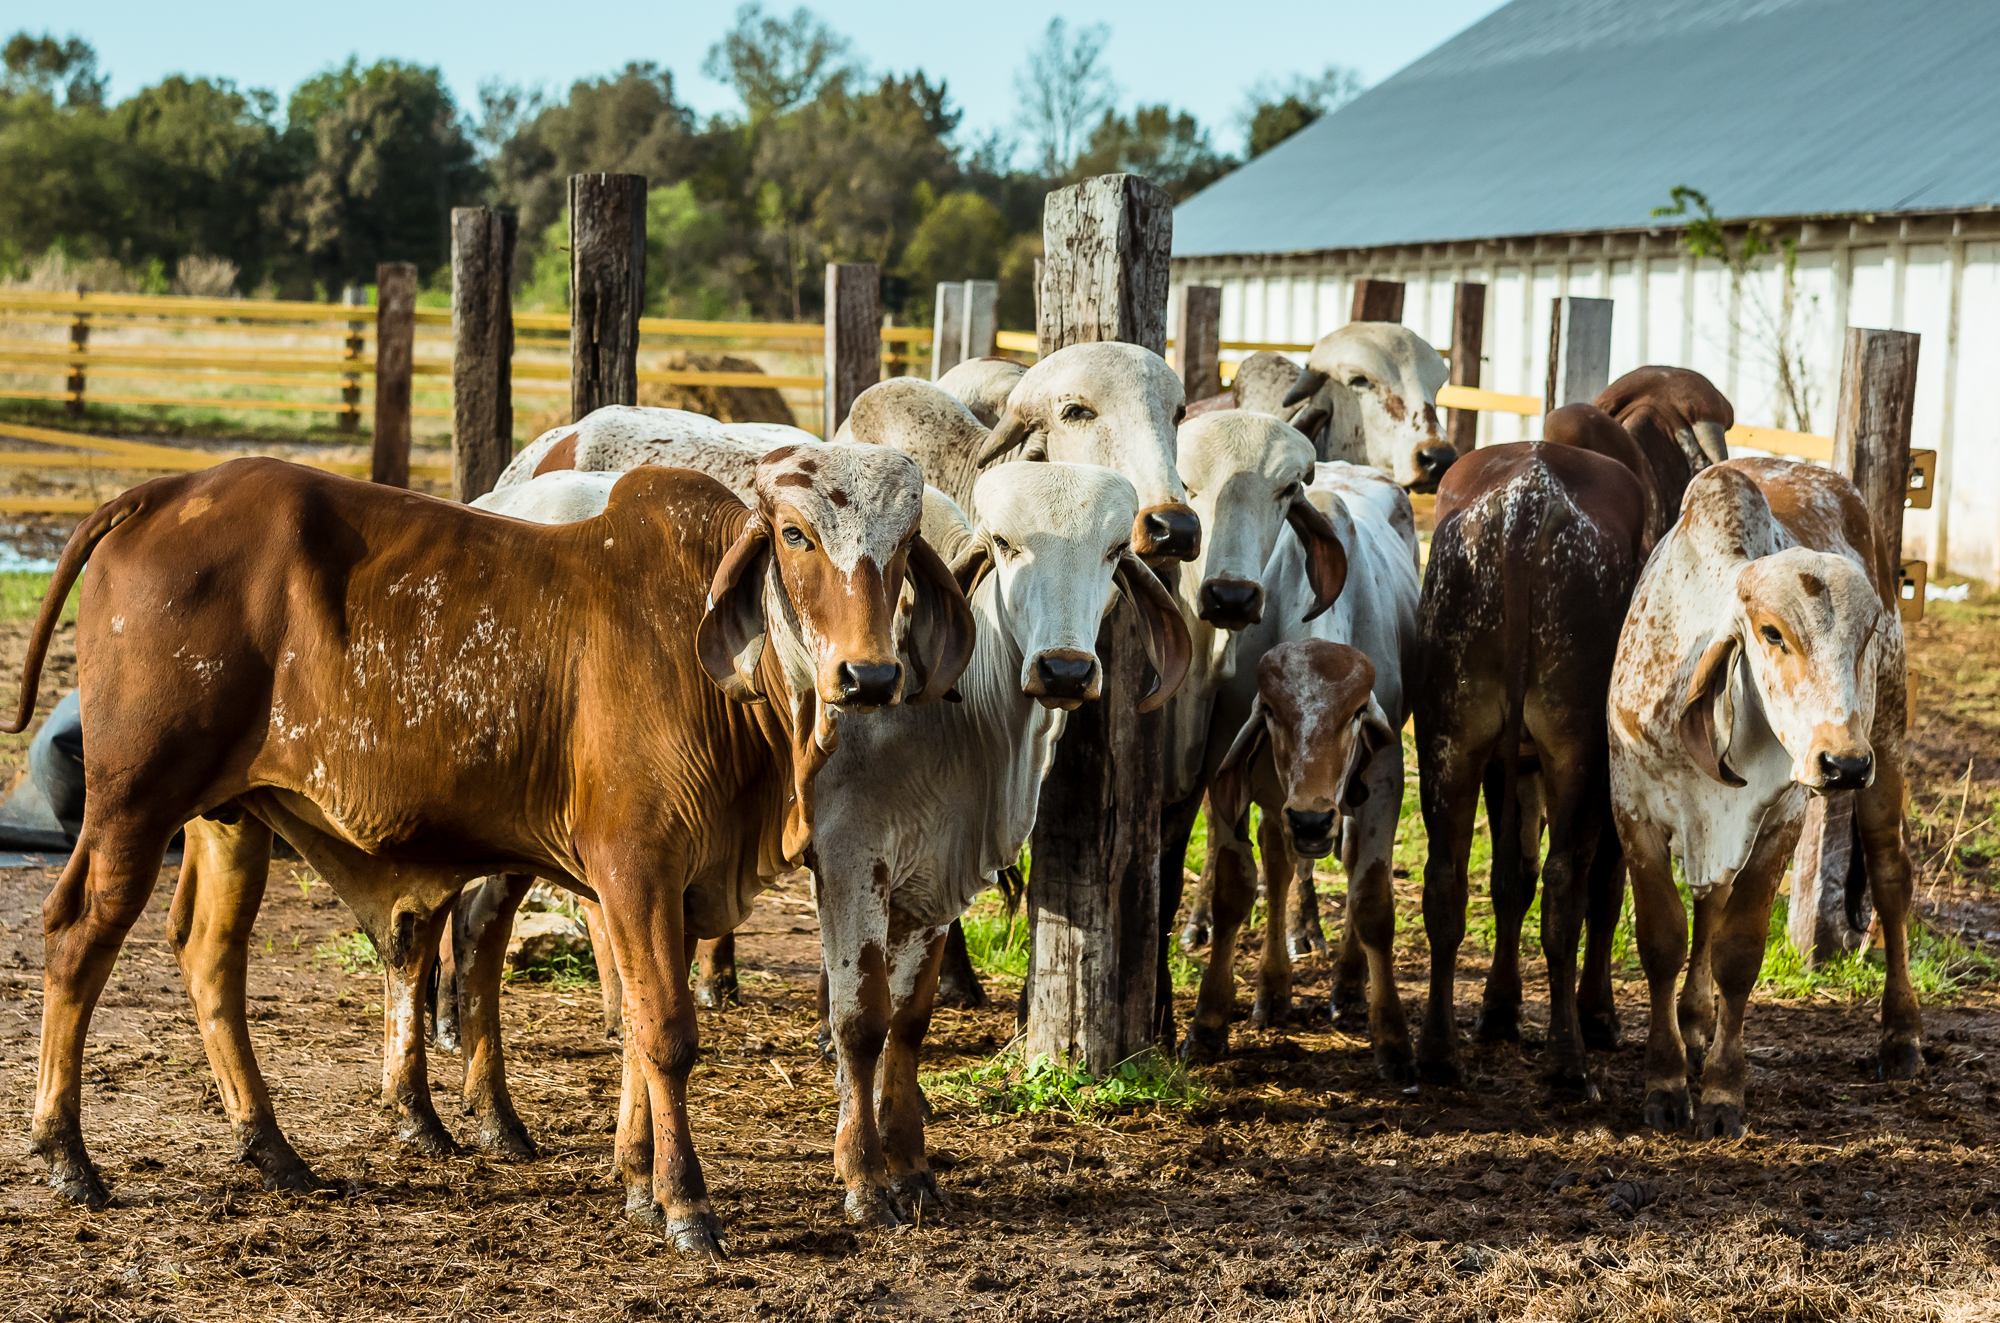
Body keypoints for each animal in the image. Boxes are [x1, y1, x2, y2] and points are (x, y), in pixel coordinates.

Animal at [13, 449, 972, 1258]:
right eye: (796, 534)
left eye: (902, 545)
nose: (870, 676)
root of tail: (163, 492)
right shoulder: (635, 865)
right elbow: (663, 1031)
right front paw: (685, 1204)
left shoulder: (649, 884)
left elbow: (632, 1021)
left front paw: (637, 1182)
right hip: (134, 803)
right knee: (75, 937)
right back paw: (67, 1155)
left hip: (229, 816)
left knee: (211, 955)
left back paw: (273, 1147)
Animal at [1414, 430, 1648, 1092]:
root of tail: (1526, 504)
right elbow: (1602, 890)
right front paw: (1599, 1017)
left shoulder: (1506, 765)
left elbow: (1508, 879)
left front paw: (1499, 1009)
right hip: (1576, 751)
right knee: (1567, 887)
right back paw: (1568, 1060)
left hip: (1449, 737)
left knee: (1445, 881)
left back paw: (1438, 1053)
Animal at [1609, 458, 1922, 1137]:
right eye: (1772, 634)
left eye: (1864, 635)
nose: (1842, 762)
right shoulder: (1634, 810)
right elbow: (1664, 941)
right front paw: (1666, 1083)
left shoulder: (1782, 820)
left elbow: (1740, 952)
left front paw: (1723, 1094)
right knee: (1708, 900)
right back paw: (1695, 1023)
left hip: (1887, 742)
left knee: (1890, 878)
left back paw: (1902, 1035)